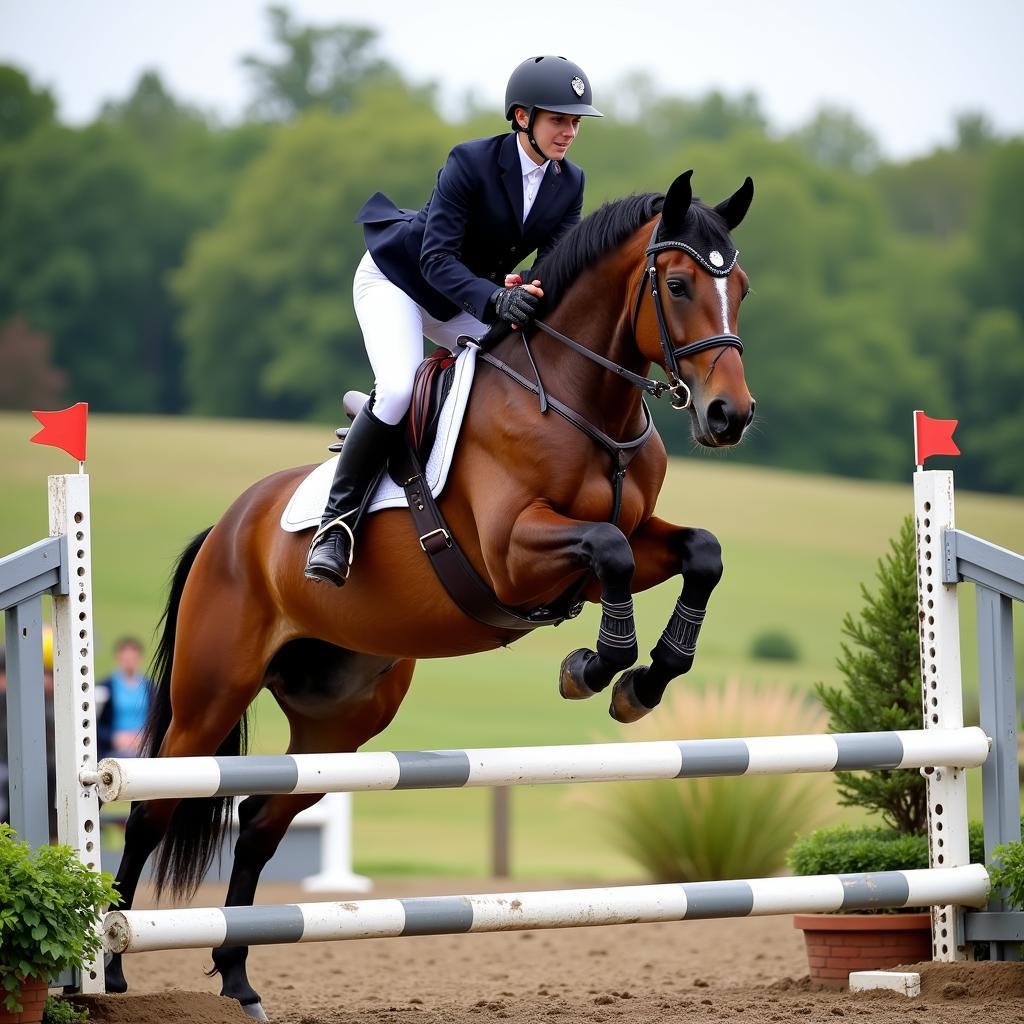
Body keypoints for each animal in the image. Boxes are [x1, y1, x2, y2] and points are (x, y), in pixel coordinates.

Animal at [105, 169, 753, 1015]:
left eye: (740, 286)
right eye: (678, 285)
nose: (730, 415)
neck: (580, 403)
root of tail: (227, 527)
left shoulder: (635, 540)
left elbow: (700, 553)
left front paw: (643, 682)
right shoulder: (516, 554)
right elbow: (607, 551)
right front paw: (595, 667)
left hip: (340, 720)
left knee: (260, 818)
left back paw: (240, 978)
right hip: (209, 697)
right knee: (154, 808)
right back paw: (112, 968)